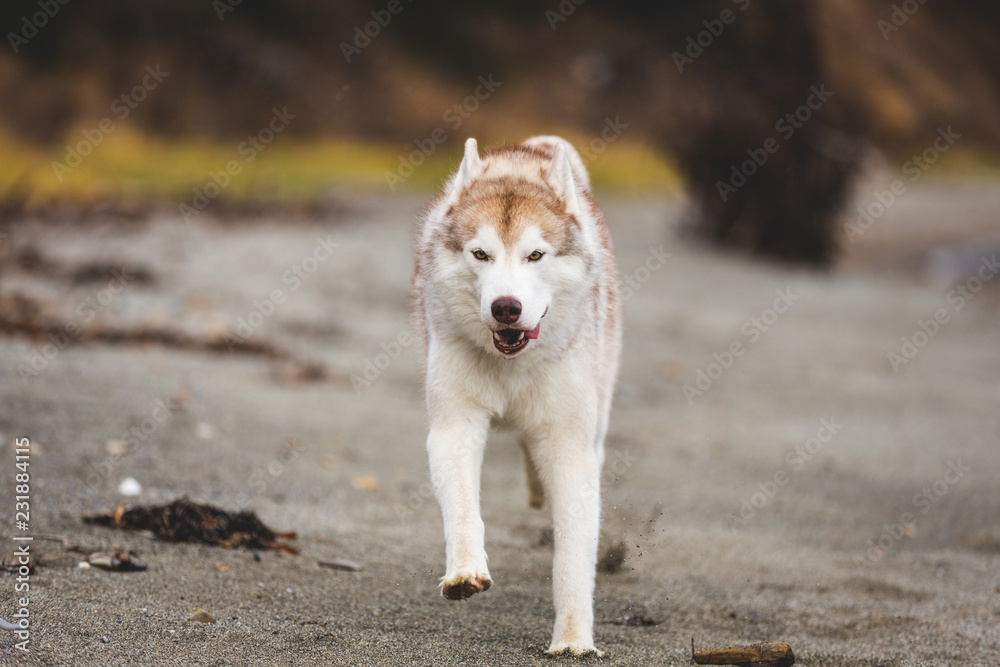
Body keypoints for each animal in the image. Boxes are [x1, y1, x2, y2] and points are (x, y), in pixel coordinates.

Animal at [412, 136, 616, 656]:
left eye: (536, 255)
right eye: (480, 254)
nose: (506, 307)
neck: (511, 366)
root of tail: (529, 146)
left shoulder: (570, 449)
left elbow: (572, 556)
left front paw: (573, 640)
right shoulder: (454, 427)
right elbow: (463, 507)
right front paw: (464, 571)